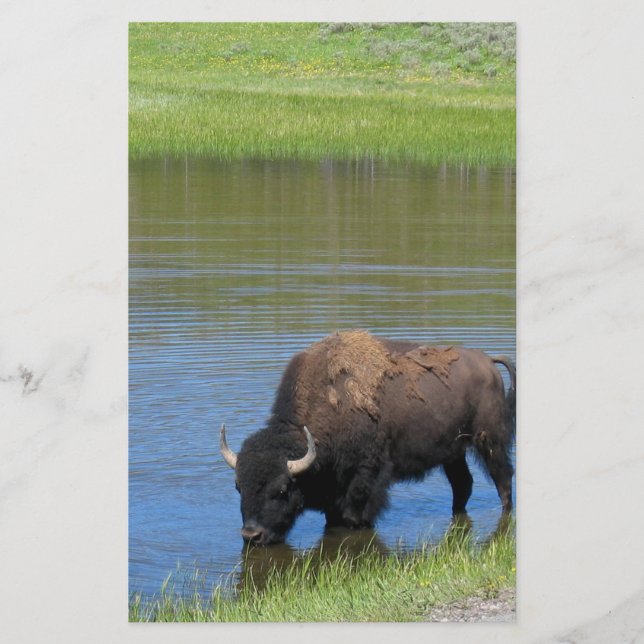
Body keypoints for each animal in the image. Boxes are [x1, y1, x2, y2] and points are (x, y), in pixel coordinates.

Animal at [221, 330, 515, 545]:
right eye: (238, 486)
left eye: (282, 489)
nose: (251, 535)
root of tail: (488, 361)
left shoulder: (366, 476)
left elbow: (355, 515)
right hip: (453, 453)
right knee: (462, 484)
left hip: (490, 441)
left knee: (503, 479)